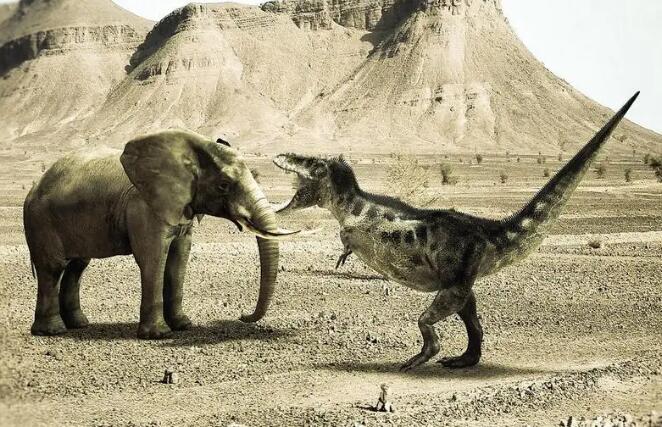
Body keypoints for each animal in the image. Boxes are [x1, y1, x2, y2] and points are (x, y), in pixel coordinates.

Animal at [24, 129, 297, 339]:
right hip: (40, 221)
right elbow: (154, 258)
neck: (189, 152)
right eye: (223, 185)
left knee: (77, 266)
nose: (242, 315)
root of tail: (34, 187)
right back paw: (53, 331)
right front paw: (158, 335)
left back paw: (79, 325)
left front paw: (184, 326)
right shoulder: (144, 207)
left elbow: (178, 259)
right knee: (53, 268)